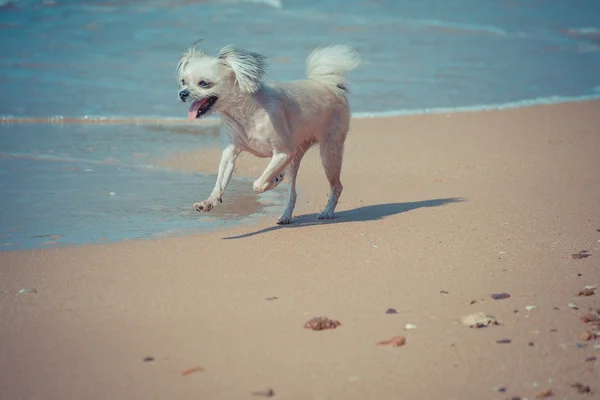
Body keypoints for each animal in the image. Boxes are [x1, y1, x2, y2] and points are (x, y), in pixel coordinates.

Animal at [176, 42, 358, 227]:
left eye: (204, 83)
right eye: (183, 82)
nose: (182, 93)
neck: (244, 111)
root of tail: (326, 83)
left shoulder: (283, 152)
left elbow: (258, 184)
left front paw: (273, 181)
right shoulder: (230, 152)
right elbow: (220, 181)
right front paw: (209, 202)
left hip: (329, 154)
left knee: (336, 186)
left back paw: (327, 212)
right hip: (297, 157)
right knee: (292, 194)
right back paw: (285, 215)